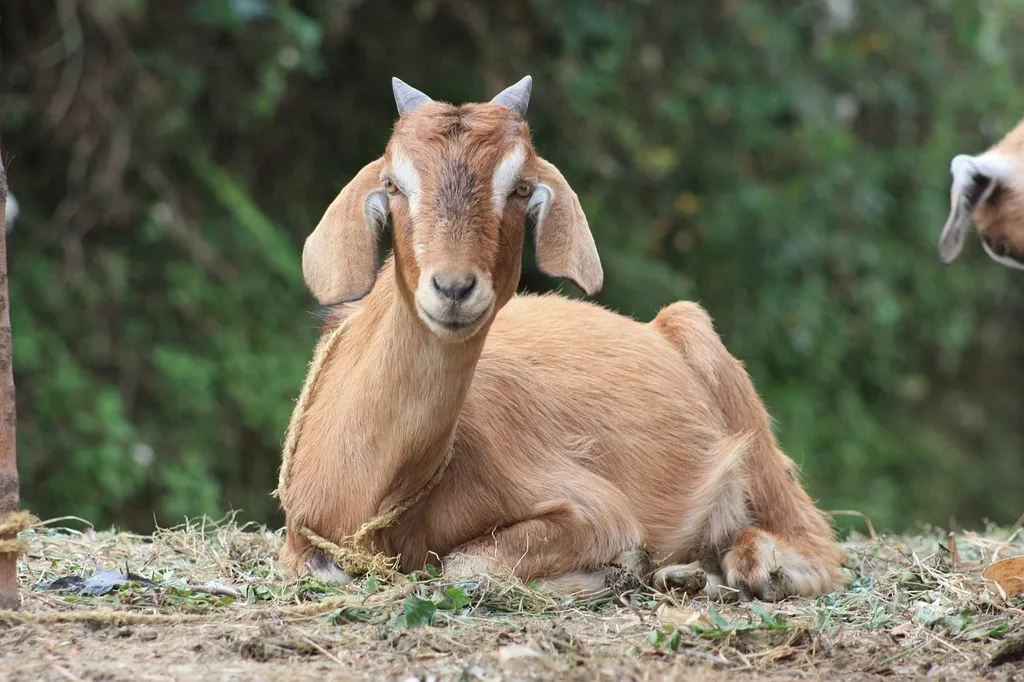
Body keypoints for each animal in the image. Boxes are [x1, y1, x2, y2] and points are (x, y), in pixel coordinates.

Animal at [276, 76, 845, 601]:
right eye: (394, 184)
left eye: (521, 186)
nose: (454, 288)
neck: (378, 489)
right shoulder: (301, 544)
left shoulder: (594, 507)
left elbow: (465, 565)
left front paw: (617, 567)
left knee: (814, 539)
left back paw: (752, 567)